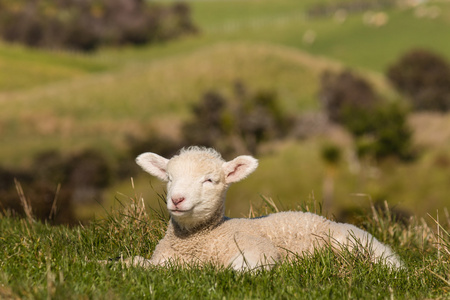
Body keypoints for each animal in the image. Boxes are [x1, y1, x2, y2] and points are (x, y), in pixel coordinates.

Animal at [127, 146, 404, 270]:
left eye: (210, 180)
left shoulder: (255, 246)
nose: (177, 199)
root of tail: (323, 218)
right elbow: (140, 264)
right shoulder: (163, 258)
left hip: (357, 242)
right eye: (169, 178)